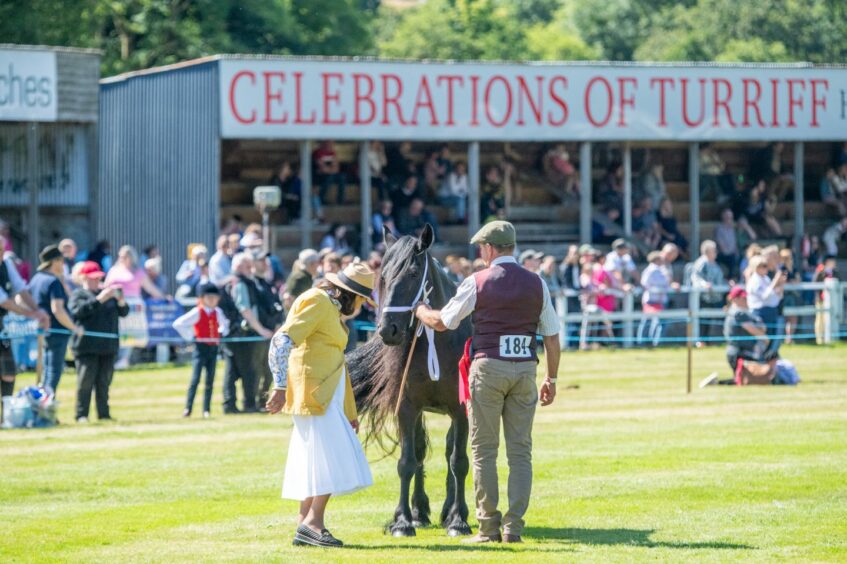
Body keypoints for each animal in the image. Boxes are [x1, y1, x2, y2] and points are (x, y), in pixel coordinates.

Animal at [348, 225, 474, 536]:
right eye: (383, 275)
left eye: (414, 273)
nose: (387, 329)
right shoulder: (406, 407)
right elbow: (408, 461)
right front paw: (404, 520)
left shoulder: (461, 410)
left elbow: (459, 461)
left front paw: (458, 520)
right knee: (419, 452)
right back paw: (419, 512)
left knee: (451, 452)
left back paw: (449, 511)